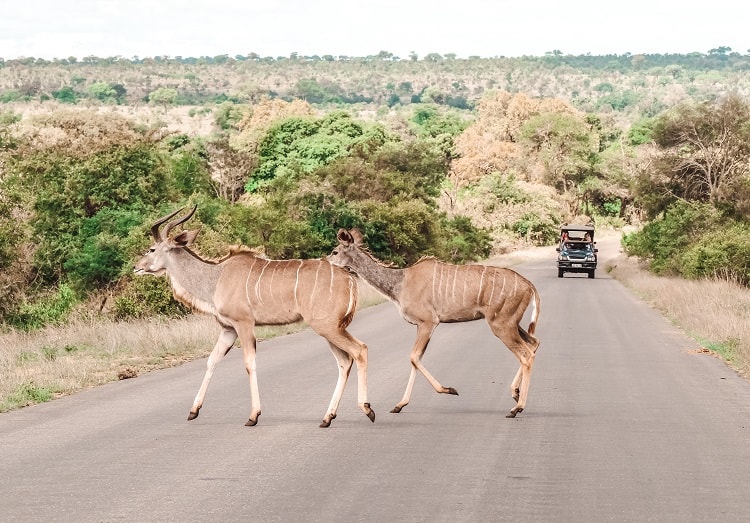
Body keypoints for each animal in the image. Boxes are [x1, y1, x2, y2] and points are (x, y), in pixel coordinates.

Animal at [134, 207, 376, 428]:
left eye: (151, 248)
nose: (136, 267)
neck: (216, 278)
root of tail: (350, 279)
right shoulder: (228, 329)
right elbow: (212, 360)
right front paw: (193, 411)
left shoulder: (244, 324)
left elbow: (249, 363)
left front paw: (253, 416)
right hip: (329, 329)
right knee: (344, 361)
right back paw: (327, 418)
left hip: (328, 327)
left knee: (360, 350)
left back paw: (367, 409)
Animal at [328, 228, 540, 418]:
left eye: (335, 251)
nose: (327, 262)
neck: (400, 284)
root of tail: (529, 286)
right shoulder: (420, 325)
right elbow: (415, 358)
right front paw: (399, 405)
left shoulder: (429, 322)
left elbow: (414, 357)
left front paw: (449, 389)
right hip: (511, 322)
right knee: (534, 343)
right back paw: (515, 393)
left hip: (501, 324)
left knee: (526, 354)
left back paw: (516, 408)